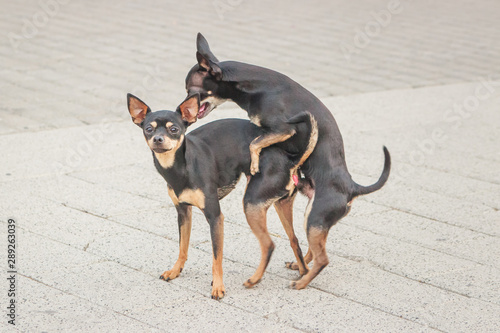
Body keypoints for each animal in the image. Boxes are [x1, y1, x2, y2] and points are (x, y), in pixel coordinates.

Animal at [127, 92, 318, 298]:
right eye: (148, 129)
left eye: (174, 129)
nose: (158, 139)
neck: (181, 167)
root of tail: (290, 159)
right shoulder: (183, 213)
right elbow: (182, 247)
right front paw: (175, 271)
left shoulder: (215, 216)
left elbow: (216, 256)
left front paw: (218, 286)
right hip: (280, 204)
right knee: (294, 240)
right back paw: (302, 273)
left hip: (251, 204)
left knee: (268, 244)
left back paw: (254, 280)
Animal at [182, 33, 392, 288]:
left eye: (191, 91)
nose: (184, 108)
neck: (252, 86)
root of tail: (353, 187)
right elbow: (257, 142)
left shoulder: (283, 129)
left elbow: (255, 143)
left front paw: (254, 162)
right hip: (313, 219)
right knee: (312, 246)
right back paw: (300, 266)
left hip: (315, 218)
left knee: (322, 258)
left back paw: (301, 283)